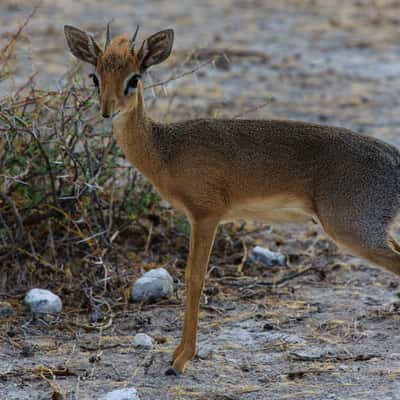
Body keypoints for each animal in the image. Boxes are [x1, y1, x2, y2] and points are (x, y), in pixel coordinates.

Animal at [65, 24, 400, 376]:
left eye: (134, 78)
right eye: (95, 76)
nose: (107, 111)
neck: (165, 151)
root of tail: (394, 156)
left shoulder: (205, 215)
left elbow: (195, 279)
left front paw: (180, 359)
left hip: (353, 231)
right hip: (372, 230)